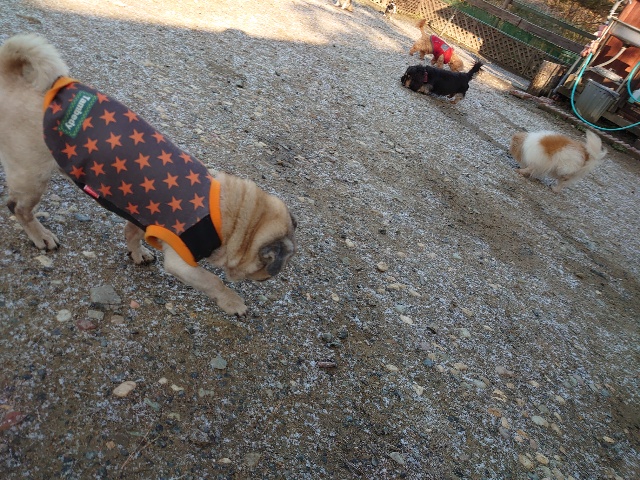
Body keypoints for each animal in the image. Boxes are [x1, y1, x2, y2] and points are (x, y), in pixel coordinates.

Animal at [0, 34, 297, 316]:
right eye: (276, 263)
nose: (277, 271)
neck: (233, 218)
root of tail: (15, 80)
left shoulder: (141, 216)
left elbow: (131, 233)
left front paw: (138, 253)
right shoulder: (182, 262)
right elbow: (213, 281)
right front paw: (233, 302)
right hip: (33, 175)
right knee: (18, 208)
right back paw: (41, 236)